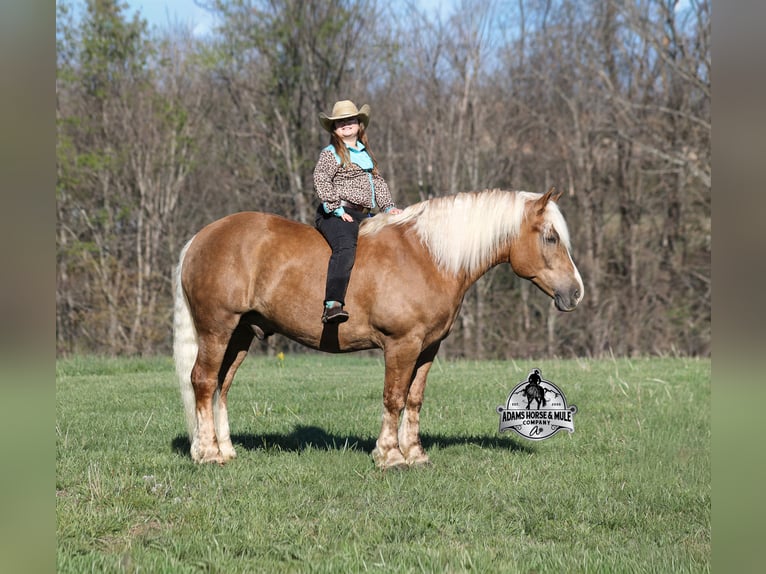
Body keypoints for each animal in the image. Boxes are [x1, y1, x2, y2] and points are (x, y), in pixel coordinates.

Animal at [173, 187, 583, 469]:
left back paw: (225, 449)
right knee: (203, 381)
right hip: (217, 329)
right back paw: (207, 453)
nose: (576, 293)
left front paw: (415, 454)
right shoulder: (401, 345)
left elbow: (414, 399)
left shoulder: (427, 347)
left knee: (221, 386)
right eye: (550, 237)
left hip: (241, 334)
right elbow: (394, 398)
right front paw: (390, 456)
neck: (427, 256)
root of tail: (199, 238)